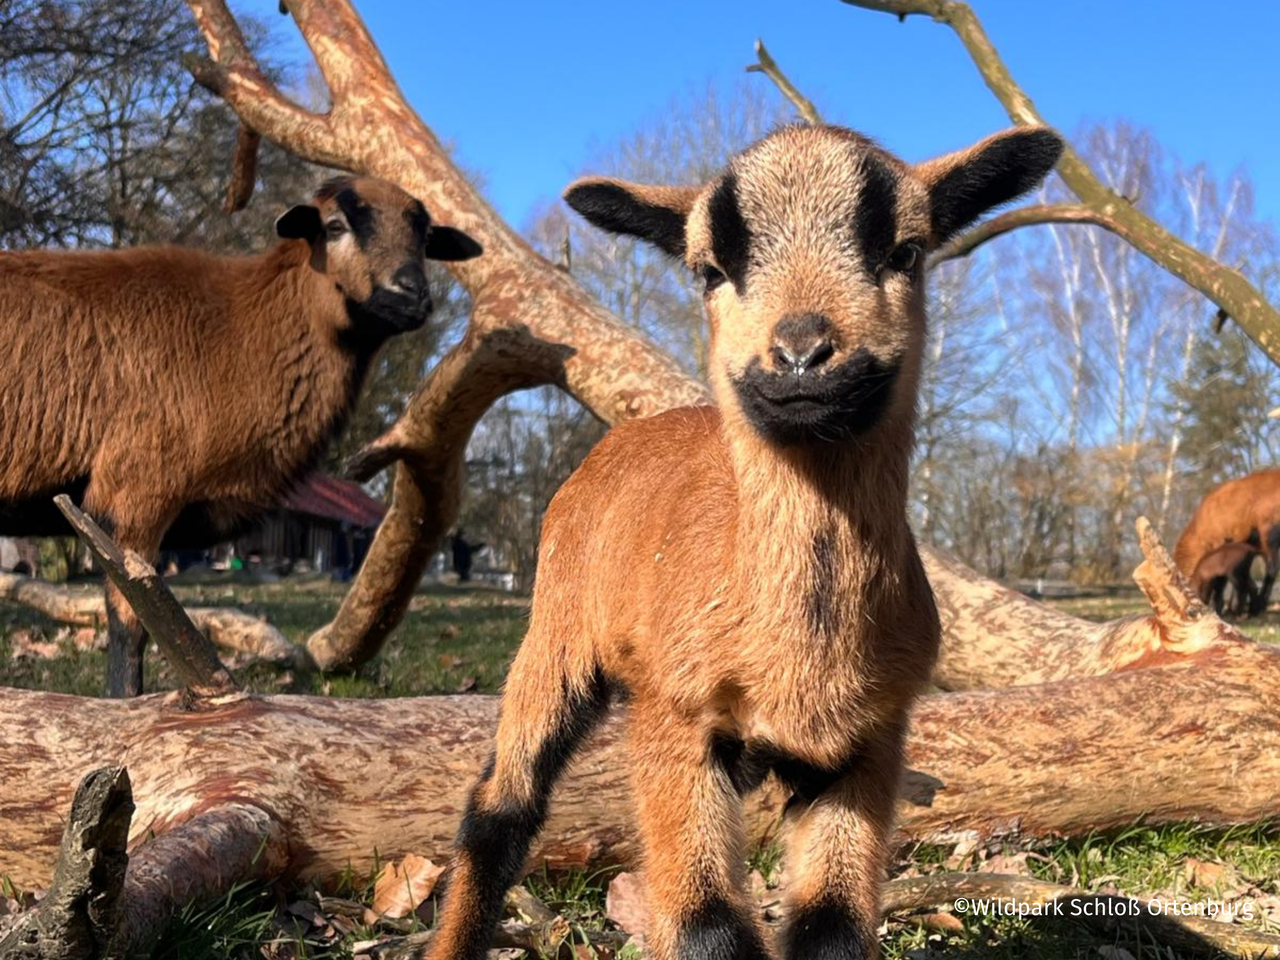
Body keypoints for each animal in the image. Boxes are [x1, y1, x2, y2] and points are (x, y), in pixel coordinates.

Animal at [0, 175, 481, 701]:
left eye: (425, 237)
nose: (411, 295)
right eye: (334, 226)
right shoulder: (135, 491)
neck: (240, 331)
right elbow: (130, 627)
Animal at [419, 122, 1059, 960]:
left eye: (908, 251)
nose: (801, 353)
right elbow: (705, 926)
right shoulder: (674, 715)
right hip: (555, 630)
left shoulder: (869, 742)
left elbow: (831, 926)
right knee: (502, 803)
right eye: (709, 270)